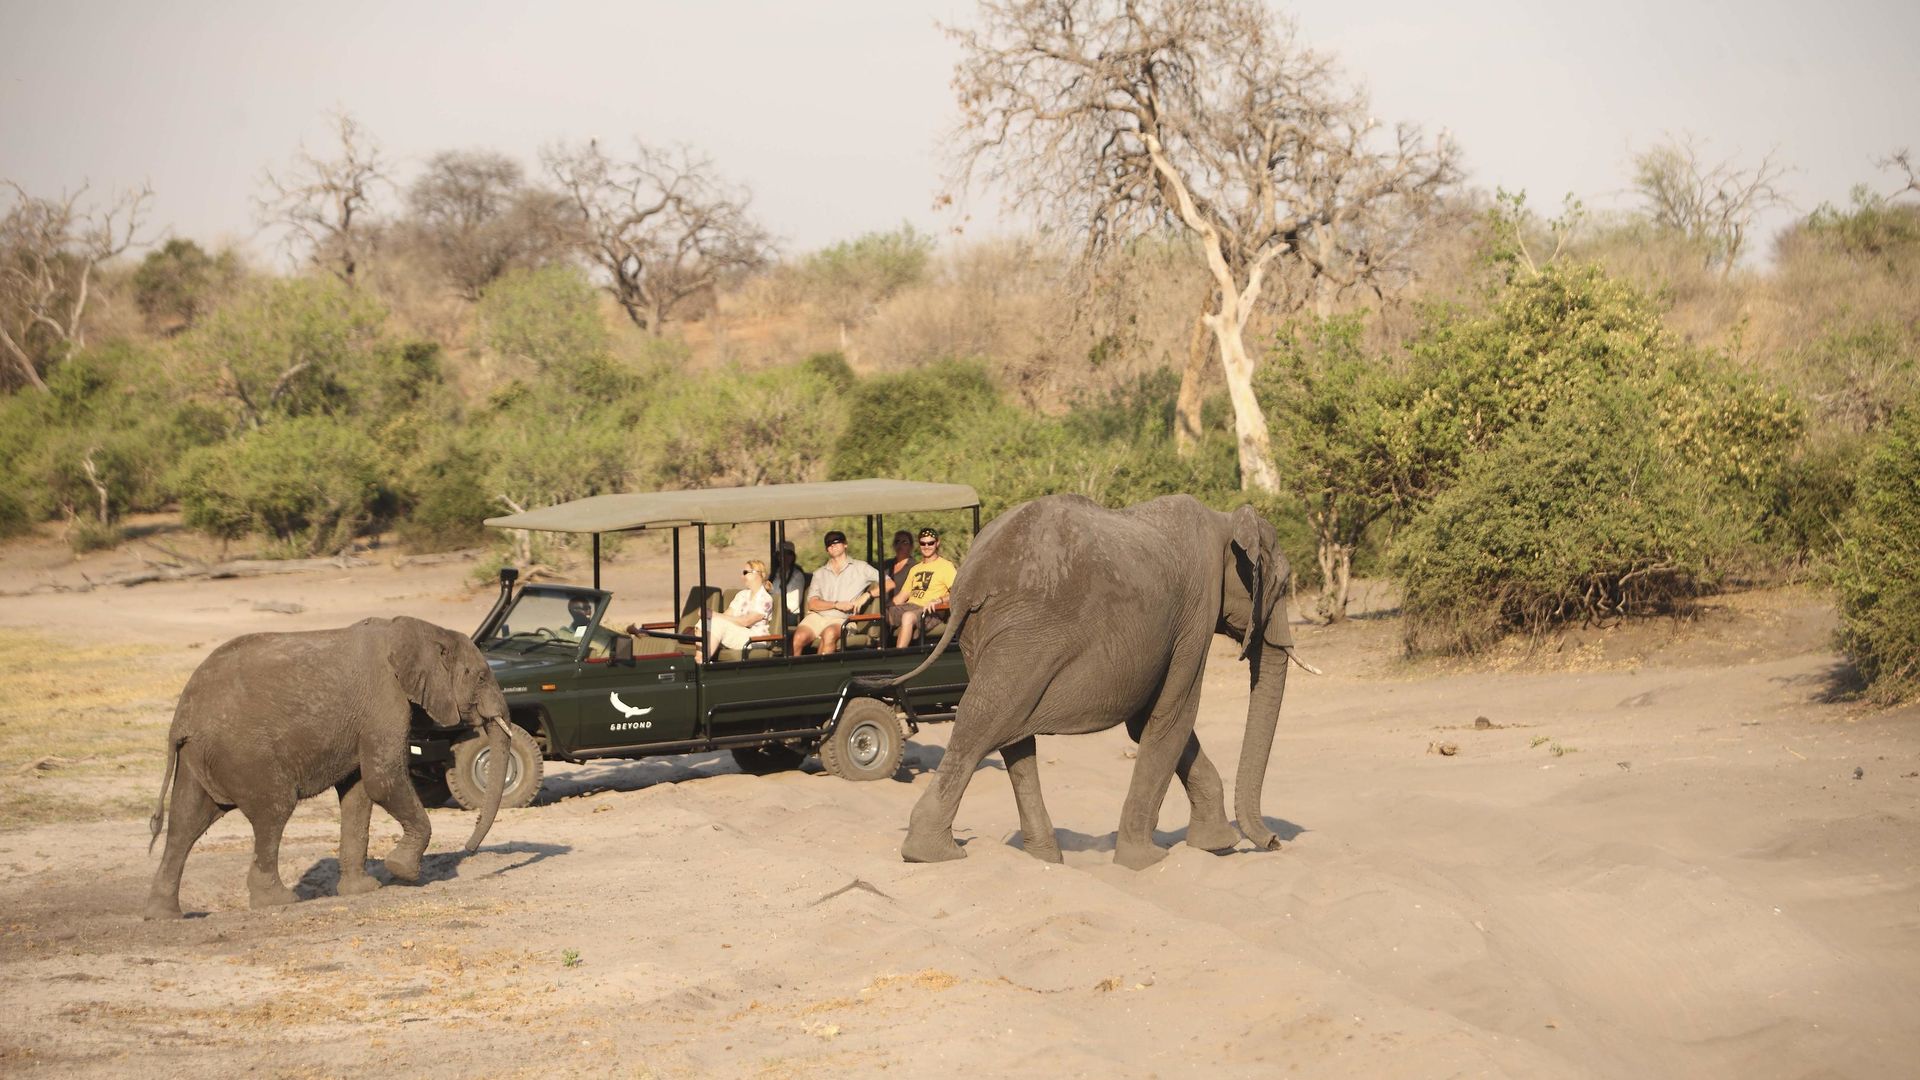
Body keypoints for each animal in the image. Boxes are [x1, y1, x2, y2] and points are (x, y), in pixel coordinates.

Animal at [146, 614, 514, 914]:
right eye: (482, 677)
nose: (469, 847)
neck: (418, 630)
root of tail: (181, 716)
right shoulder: (385, 701)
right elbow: (382, 779)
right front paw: (401, 870)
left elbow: (359, 794)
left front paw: (363, 890)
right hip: (243, 752)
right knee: (273, 811)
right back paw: (278, 901)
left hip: (199, 754)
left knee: (186, 822)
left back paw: (164, 914)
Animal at [890, 495, 1297, 864]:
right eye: (1281, 585)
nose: (1274, 841)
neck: (1224, 520)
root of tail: (972, 578)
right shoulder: (1196, 615)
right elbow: (1171, 719)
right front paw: (1147, 860)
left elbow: (1148, 723)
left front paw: (1216, 845)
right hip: (1026, 636)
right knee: (985, 721)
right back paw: (931, 854)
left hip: (988, 638)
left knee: (1009, 730)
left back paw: (1044, 860)